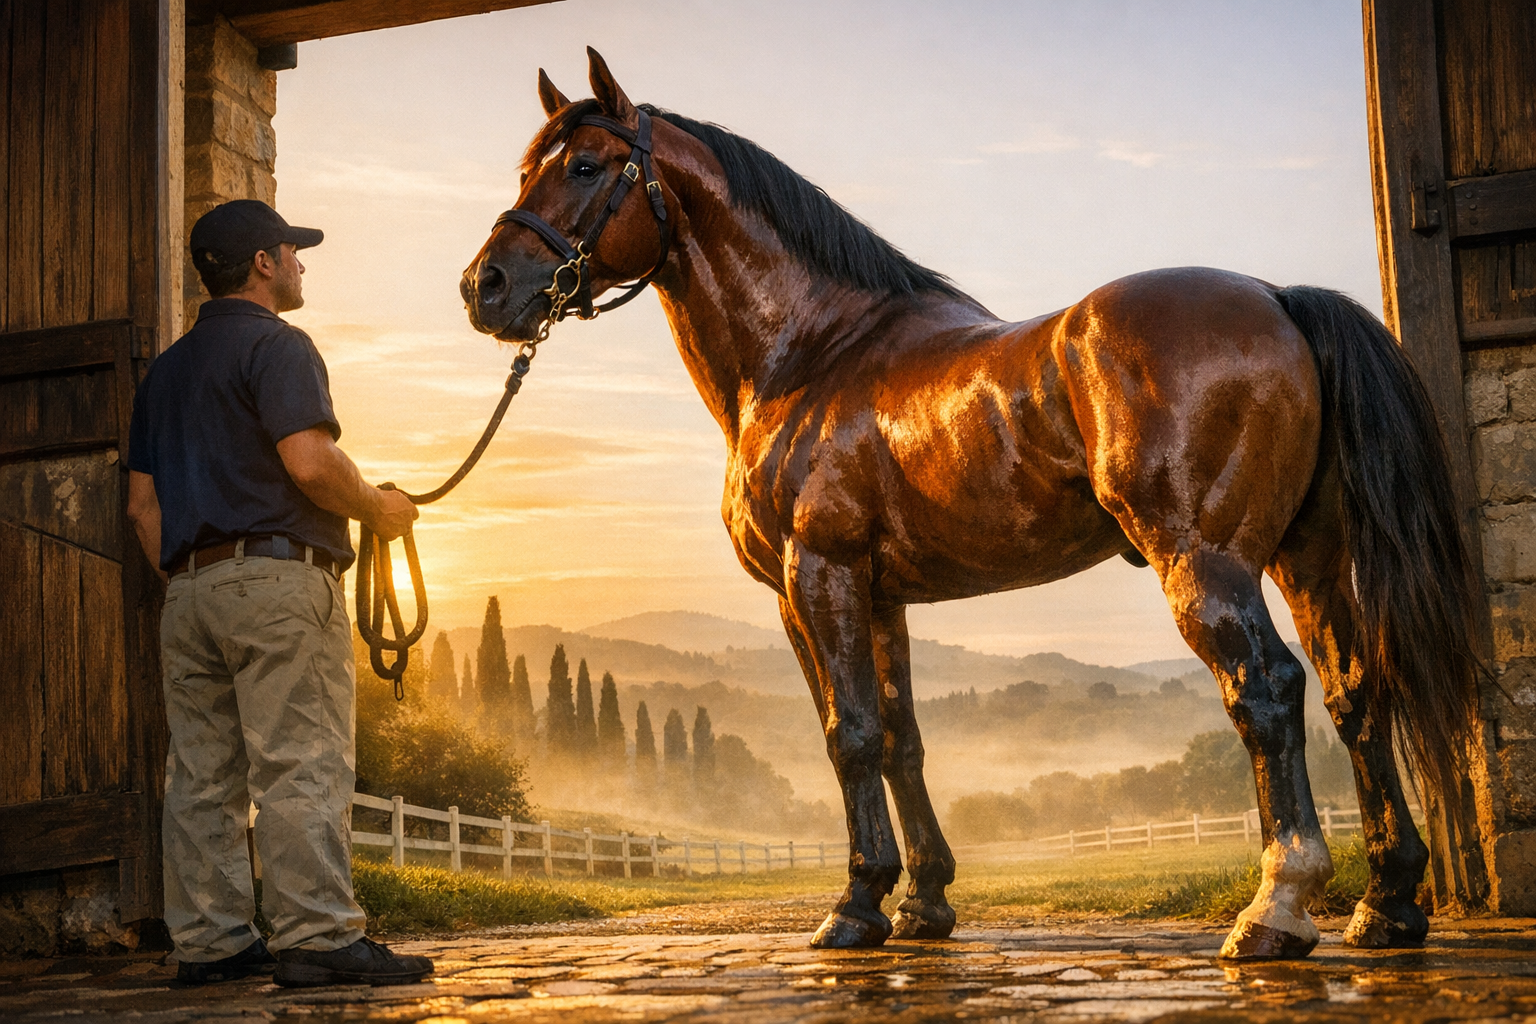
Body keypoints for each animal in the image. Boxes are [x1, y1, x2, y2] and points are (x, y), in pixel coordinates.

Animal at [460, 49, 1484, 960]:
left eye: (585, 166)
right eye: (528, 166)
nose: (486, 288)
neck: (808, 354)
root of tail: (1276, 297)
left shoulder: (813, 579)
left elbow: (849, 736)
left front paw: (855, 907)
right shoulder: (880, 597)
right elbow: (902, 739)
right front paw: (923, 904)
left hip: (1207, 561)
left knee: (1265, 691)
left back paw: (1275, 910)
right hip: (1307, 559)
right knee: (1356, 694)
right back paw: (1387, 906)